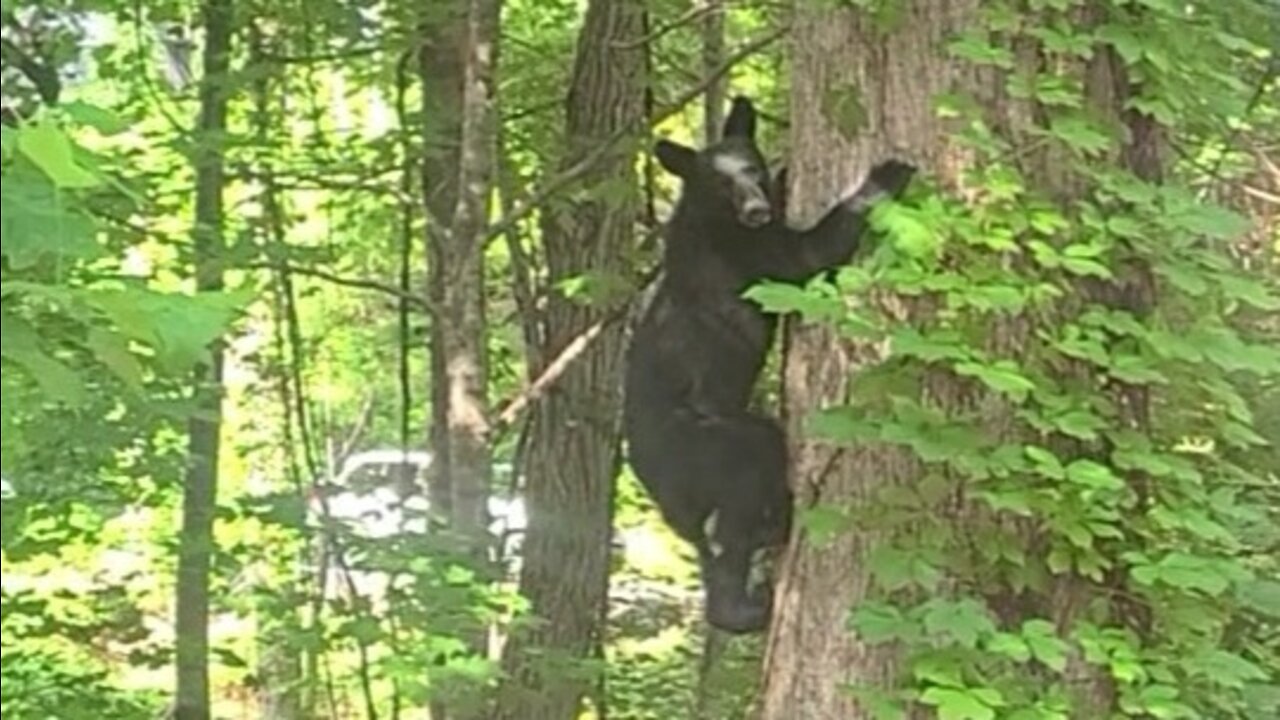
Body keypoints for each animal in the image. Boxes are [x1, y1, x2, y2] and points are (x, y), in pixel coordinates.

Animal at [624, 95, 916, 627]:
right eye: (721, 183)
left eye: (752, 168)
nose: (756, 208)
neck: (710, 216)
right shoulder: (747, 254)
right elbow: (807, 259)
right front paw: (883, 176)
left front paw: (783, 177)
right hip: (708, 443)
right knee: (747, 479)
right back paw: (747, 596)